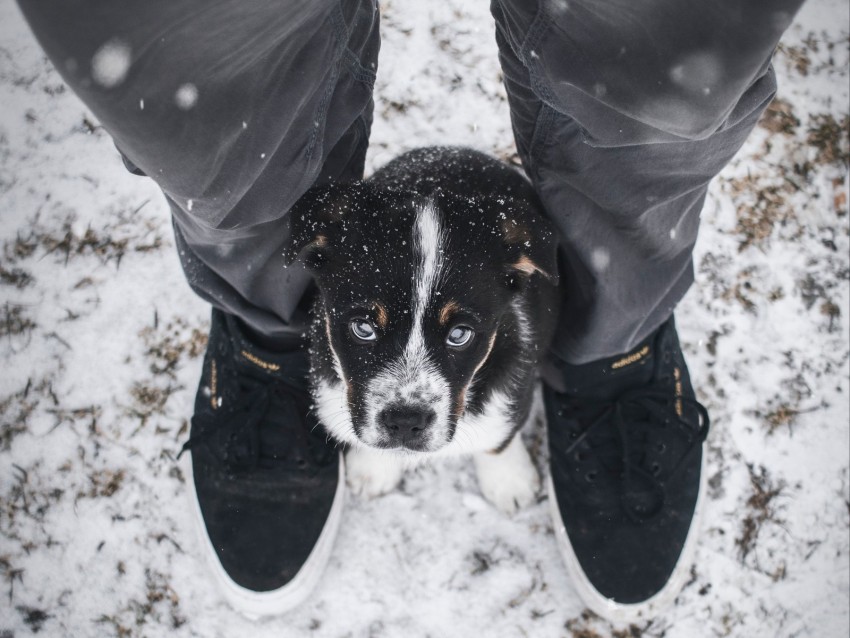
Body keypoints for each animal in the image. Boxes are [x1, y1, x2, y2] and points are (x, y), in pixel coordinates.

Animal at [288, 146, 560, 516]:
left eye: (459, 334)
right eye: (363, 327)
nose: (405, 422)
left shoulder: (517, 376)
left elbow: (500, 436)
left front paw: (509, 482)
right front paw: (373, 469)